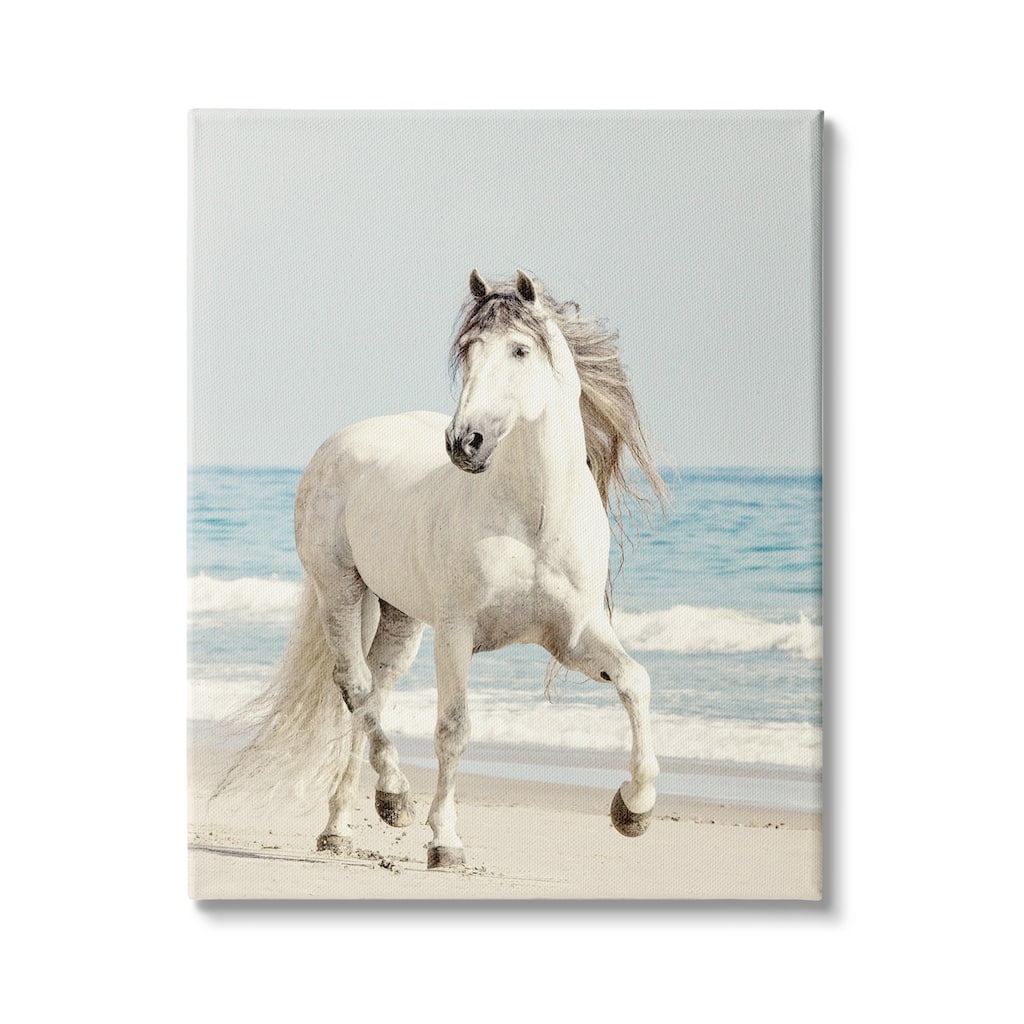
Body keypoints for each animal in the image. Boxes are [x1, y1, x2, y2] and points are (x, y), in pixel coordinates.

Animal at [237, 269, 666, 869]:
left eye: (519, 349)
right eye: (469, 350)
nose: (466, 443)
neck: (531, 518)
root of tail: (340, 442)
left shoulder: (573, 636)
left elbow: (634, 680)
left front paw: (634, 808)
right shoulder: (457, 632)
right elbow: (453, 729)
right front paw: (444, 842)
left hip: (400, 617)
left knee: (372, 693)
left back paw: (347, 823)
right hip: (341, 590)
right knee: (357, 686)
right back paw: (392, 799)